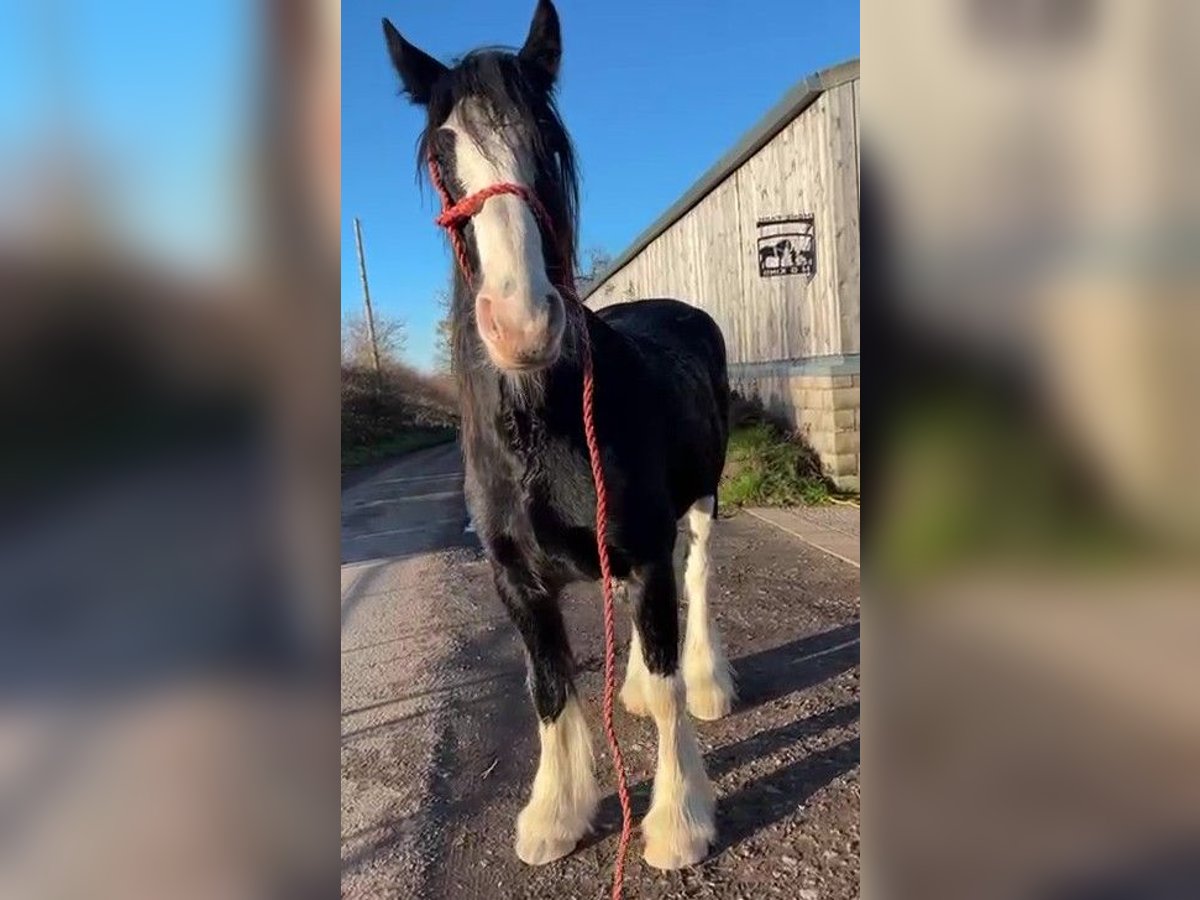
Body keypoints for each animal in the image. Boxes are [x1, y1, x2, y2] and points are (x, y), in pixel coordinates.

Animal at [383, 0, 735, 871]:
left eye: (545, 134)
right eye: (442, 151)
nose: (523, 325)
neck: (539, 430)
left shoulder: (643, 552)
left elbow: (669, 682)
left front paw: (678, 823)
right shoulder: (518, 580)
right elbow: (549, 689)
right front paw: (555, 813)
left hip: (703, 500)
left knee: (699, 575)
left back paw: (708, 682)